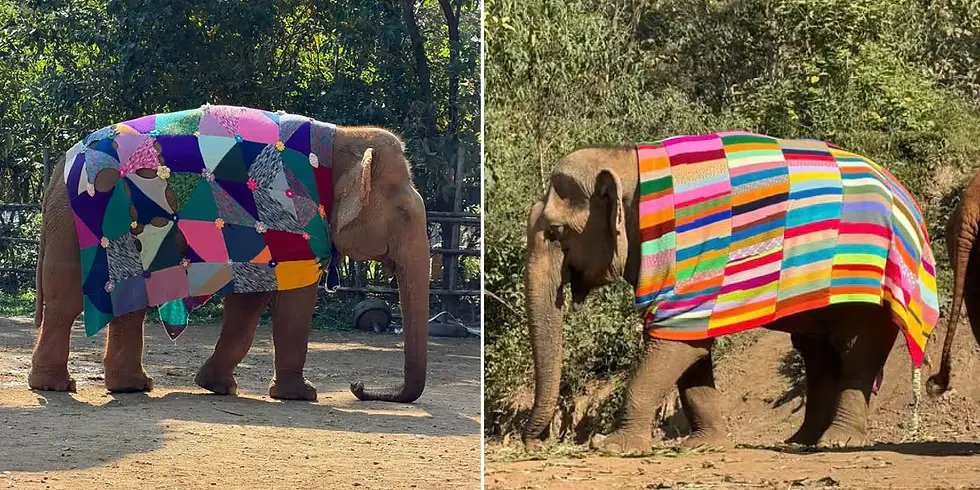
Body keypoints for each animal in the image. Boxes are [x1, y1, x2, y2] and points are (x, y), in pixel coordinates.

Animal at [28, 105, 430, 403]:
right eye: (404, 212)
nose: (358, 387)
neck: (344, 136)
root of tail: (56, 170)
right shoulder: (298, 217)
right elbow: (294, 301)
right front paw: (302, 395)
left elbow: (250, 303)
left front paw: (218, 386)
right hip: (77, 225)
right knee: (67, 301)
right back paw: (57, 386)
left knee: (127, 302)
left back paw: (131, 386)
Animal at [521, 132, 938, 453]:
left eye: (556, 232)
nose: (534, 443)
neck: (627, 158)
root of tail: (912, 205)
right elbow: (690, 347)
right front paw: (703, 446)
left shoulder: (696, 254)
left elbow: (676, 342)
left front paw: (613, 448)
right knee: (817, 352)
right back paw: (799, 441)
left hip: (870, 281)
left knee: (855, 349)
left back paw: (837, 442)